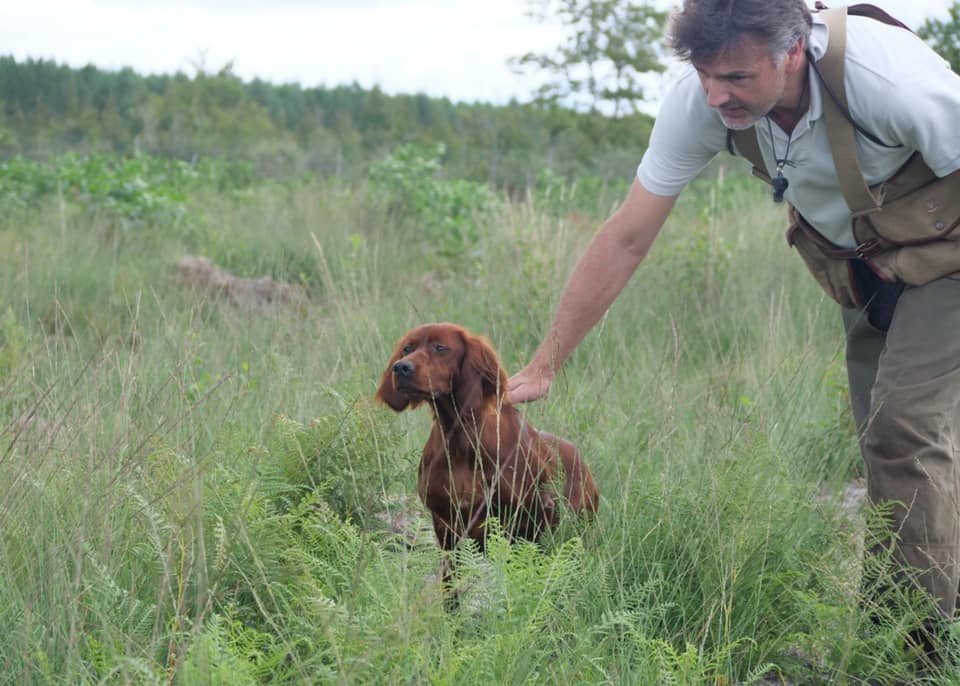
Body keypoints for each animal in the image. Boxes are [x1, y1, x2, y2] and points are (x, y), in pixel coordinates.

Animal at [376, 326, 596, 588]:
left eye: (440, 347)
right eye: (407, 348)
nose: (401, 368)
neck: (462, 438)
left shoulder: (528, 518)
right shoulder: (446, 524)